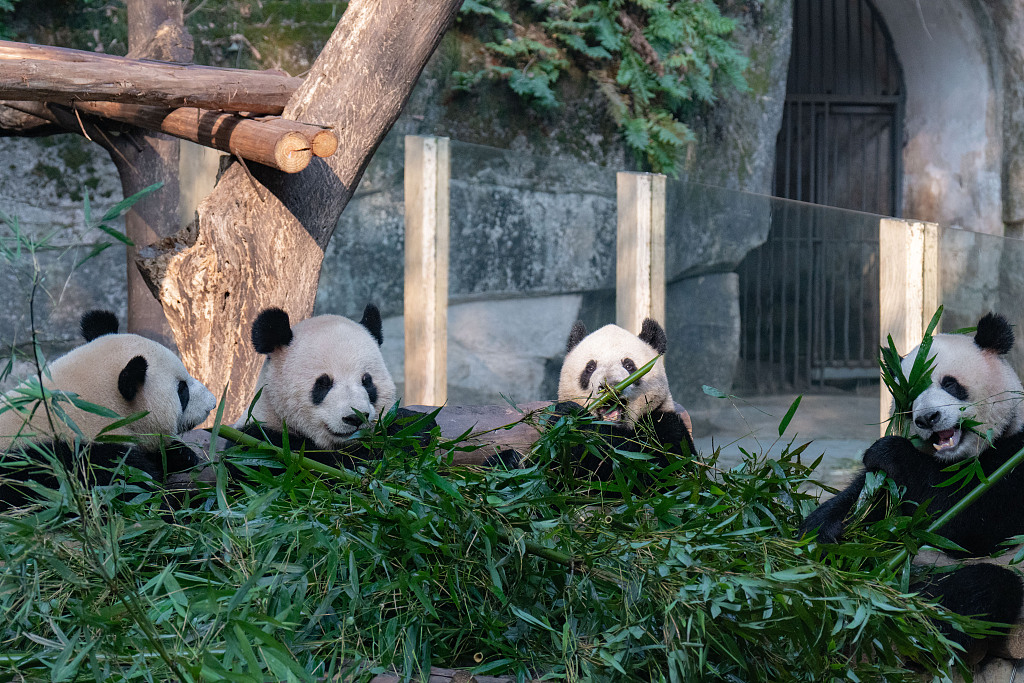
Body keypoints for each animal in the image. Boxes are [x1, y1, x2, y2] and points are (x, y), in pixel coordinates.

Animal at [233, 305, 436, 471]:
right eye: (323, 383)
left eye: (367, 381)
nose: (355, 418)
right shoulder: (262, 447)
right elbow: (339, 467)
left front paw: (413, 425)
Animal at [552, 317, 696, 483]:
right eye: (590, 368)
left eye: (629, 365)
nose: (609, 386)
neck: (613, 428)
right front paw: (569, 417)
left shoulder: (663, 422)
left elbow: (657, 467)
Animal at [802, 313, 1019, 651]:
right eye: (910, 393)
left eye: (950, 384)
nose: (927, 418)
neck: (955, 462)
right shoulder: (885, 488)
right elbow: (866, 501)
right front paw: (822, 533)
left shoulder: (1012, 462)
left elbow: (966, 520)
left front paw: (890, 451)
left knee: (977, 592)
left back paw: (914, 623)